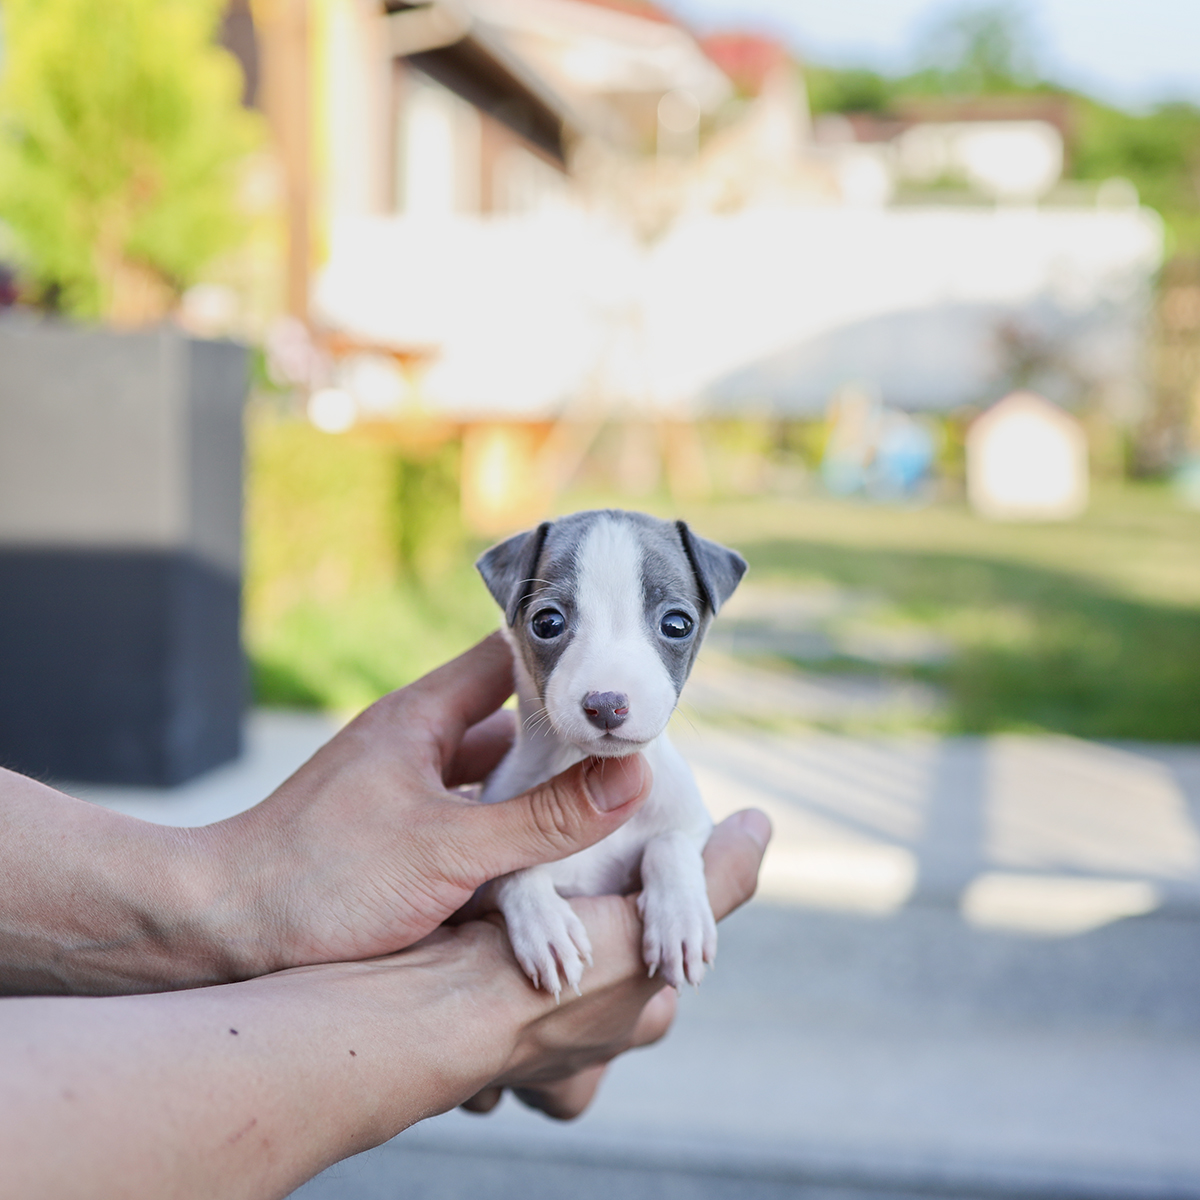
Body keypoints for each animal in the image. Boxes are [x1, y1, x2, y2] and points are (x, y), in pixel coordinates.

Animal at [472, 511, 744, 998]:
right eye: (547, 623)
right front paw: (544, 925)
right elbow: (512, 869)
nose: (606, 704)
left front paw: (680, 920)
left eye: (678, 624)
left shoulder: (693, 824)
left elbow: (670, 843)